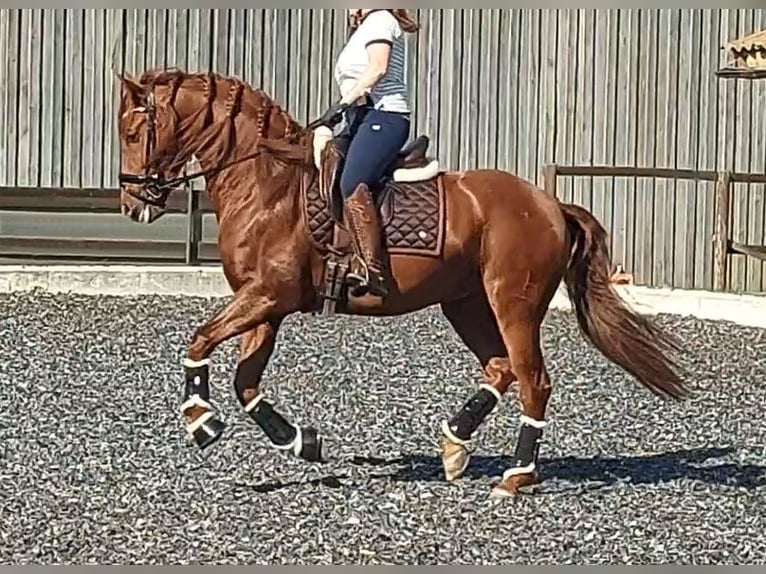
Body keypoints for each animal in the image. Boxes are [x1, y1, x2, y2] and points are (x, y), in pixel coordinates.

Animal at [118, 67, 688, 500]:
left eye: (132, 133)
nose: (132, 204)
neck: (268, 185)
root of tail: (549, 205)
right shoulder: (266, 305)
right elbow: (245, 381)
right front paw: (301, 441)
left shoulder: (266, 296)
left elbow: (200, 341)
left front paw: (200, 420)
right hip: (465, 303)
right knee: (501, 369)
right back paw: (455, 446)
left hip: (514, 304)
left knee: (533, 380)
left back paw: (516, 476)